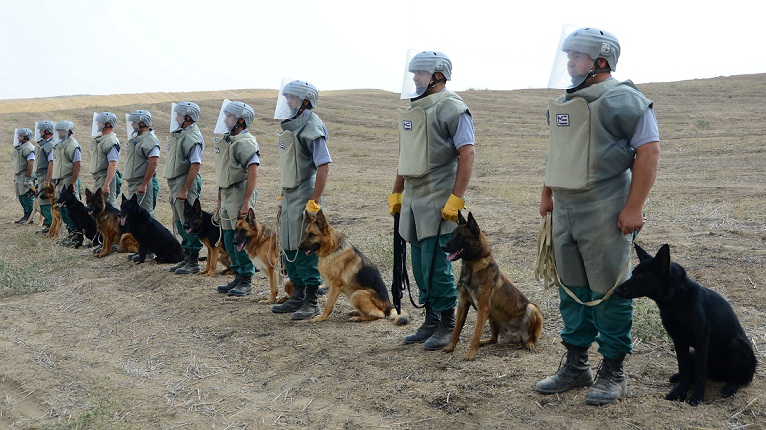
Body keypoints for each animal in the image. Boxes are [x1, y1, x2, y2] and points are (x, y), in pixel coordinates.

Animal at [440, 212, 544, 360]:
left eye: (460, 236)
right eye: (452, 234)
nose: (443, 247)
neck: (473, 265)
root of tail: (517, 336)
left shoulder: (483, 308)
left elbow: (475, 335)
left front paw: (471, 354)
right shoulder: (463, 305)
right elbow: (456, 330)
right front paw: (450, 347)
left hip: (532, 308)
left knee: (532, 337)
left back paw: (529, 343)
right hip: (492, 316)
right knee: (494, 339)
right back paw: (483, 342)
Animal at [616, 244, 760, 404]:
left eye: (640, 276)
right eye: (633, 273)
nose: (615, 290)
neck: (676, 301)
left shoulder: (701, 342)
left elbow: (700, 374)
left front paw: (696, 396)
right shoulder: (679, 342)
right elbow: (684, 370)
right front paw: (679, 392)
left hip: (736, 346)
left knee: (740, 379)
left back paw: (730, 387)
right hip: (694, 354)